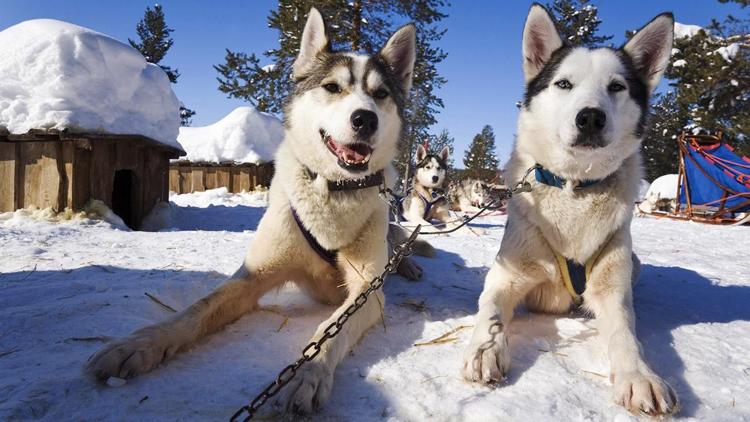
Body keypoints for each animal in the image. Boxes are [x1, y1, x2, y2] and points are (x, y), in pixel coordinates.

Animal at [87, 8, 420, 414]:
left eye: (380, 94)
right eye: (332, 88)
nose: (365, 119)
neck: (333, 192)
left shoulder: (367, 291)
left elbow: (329, 332)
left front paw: (308, 373)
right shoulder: (252, 276)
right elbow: (197, 310)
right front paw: (139, 344)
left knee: (401, 244)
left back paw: (411, 265)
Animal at [464, 5, 680, 416]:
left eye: (616, 86)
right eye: (564, 84)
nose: (591, 117)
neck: (575, 188)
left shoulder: (612, 291)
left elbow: (626, 335)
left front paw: (639, 376)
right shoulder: (506, 277)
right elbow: (491, 311)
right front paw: (486, 348)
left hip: (633, 265)